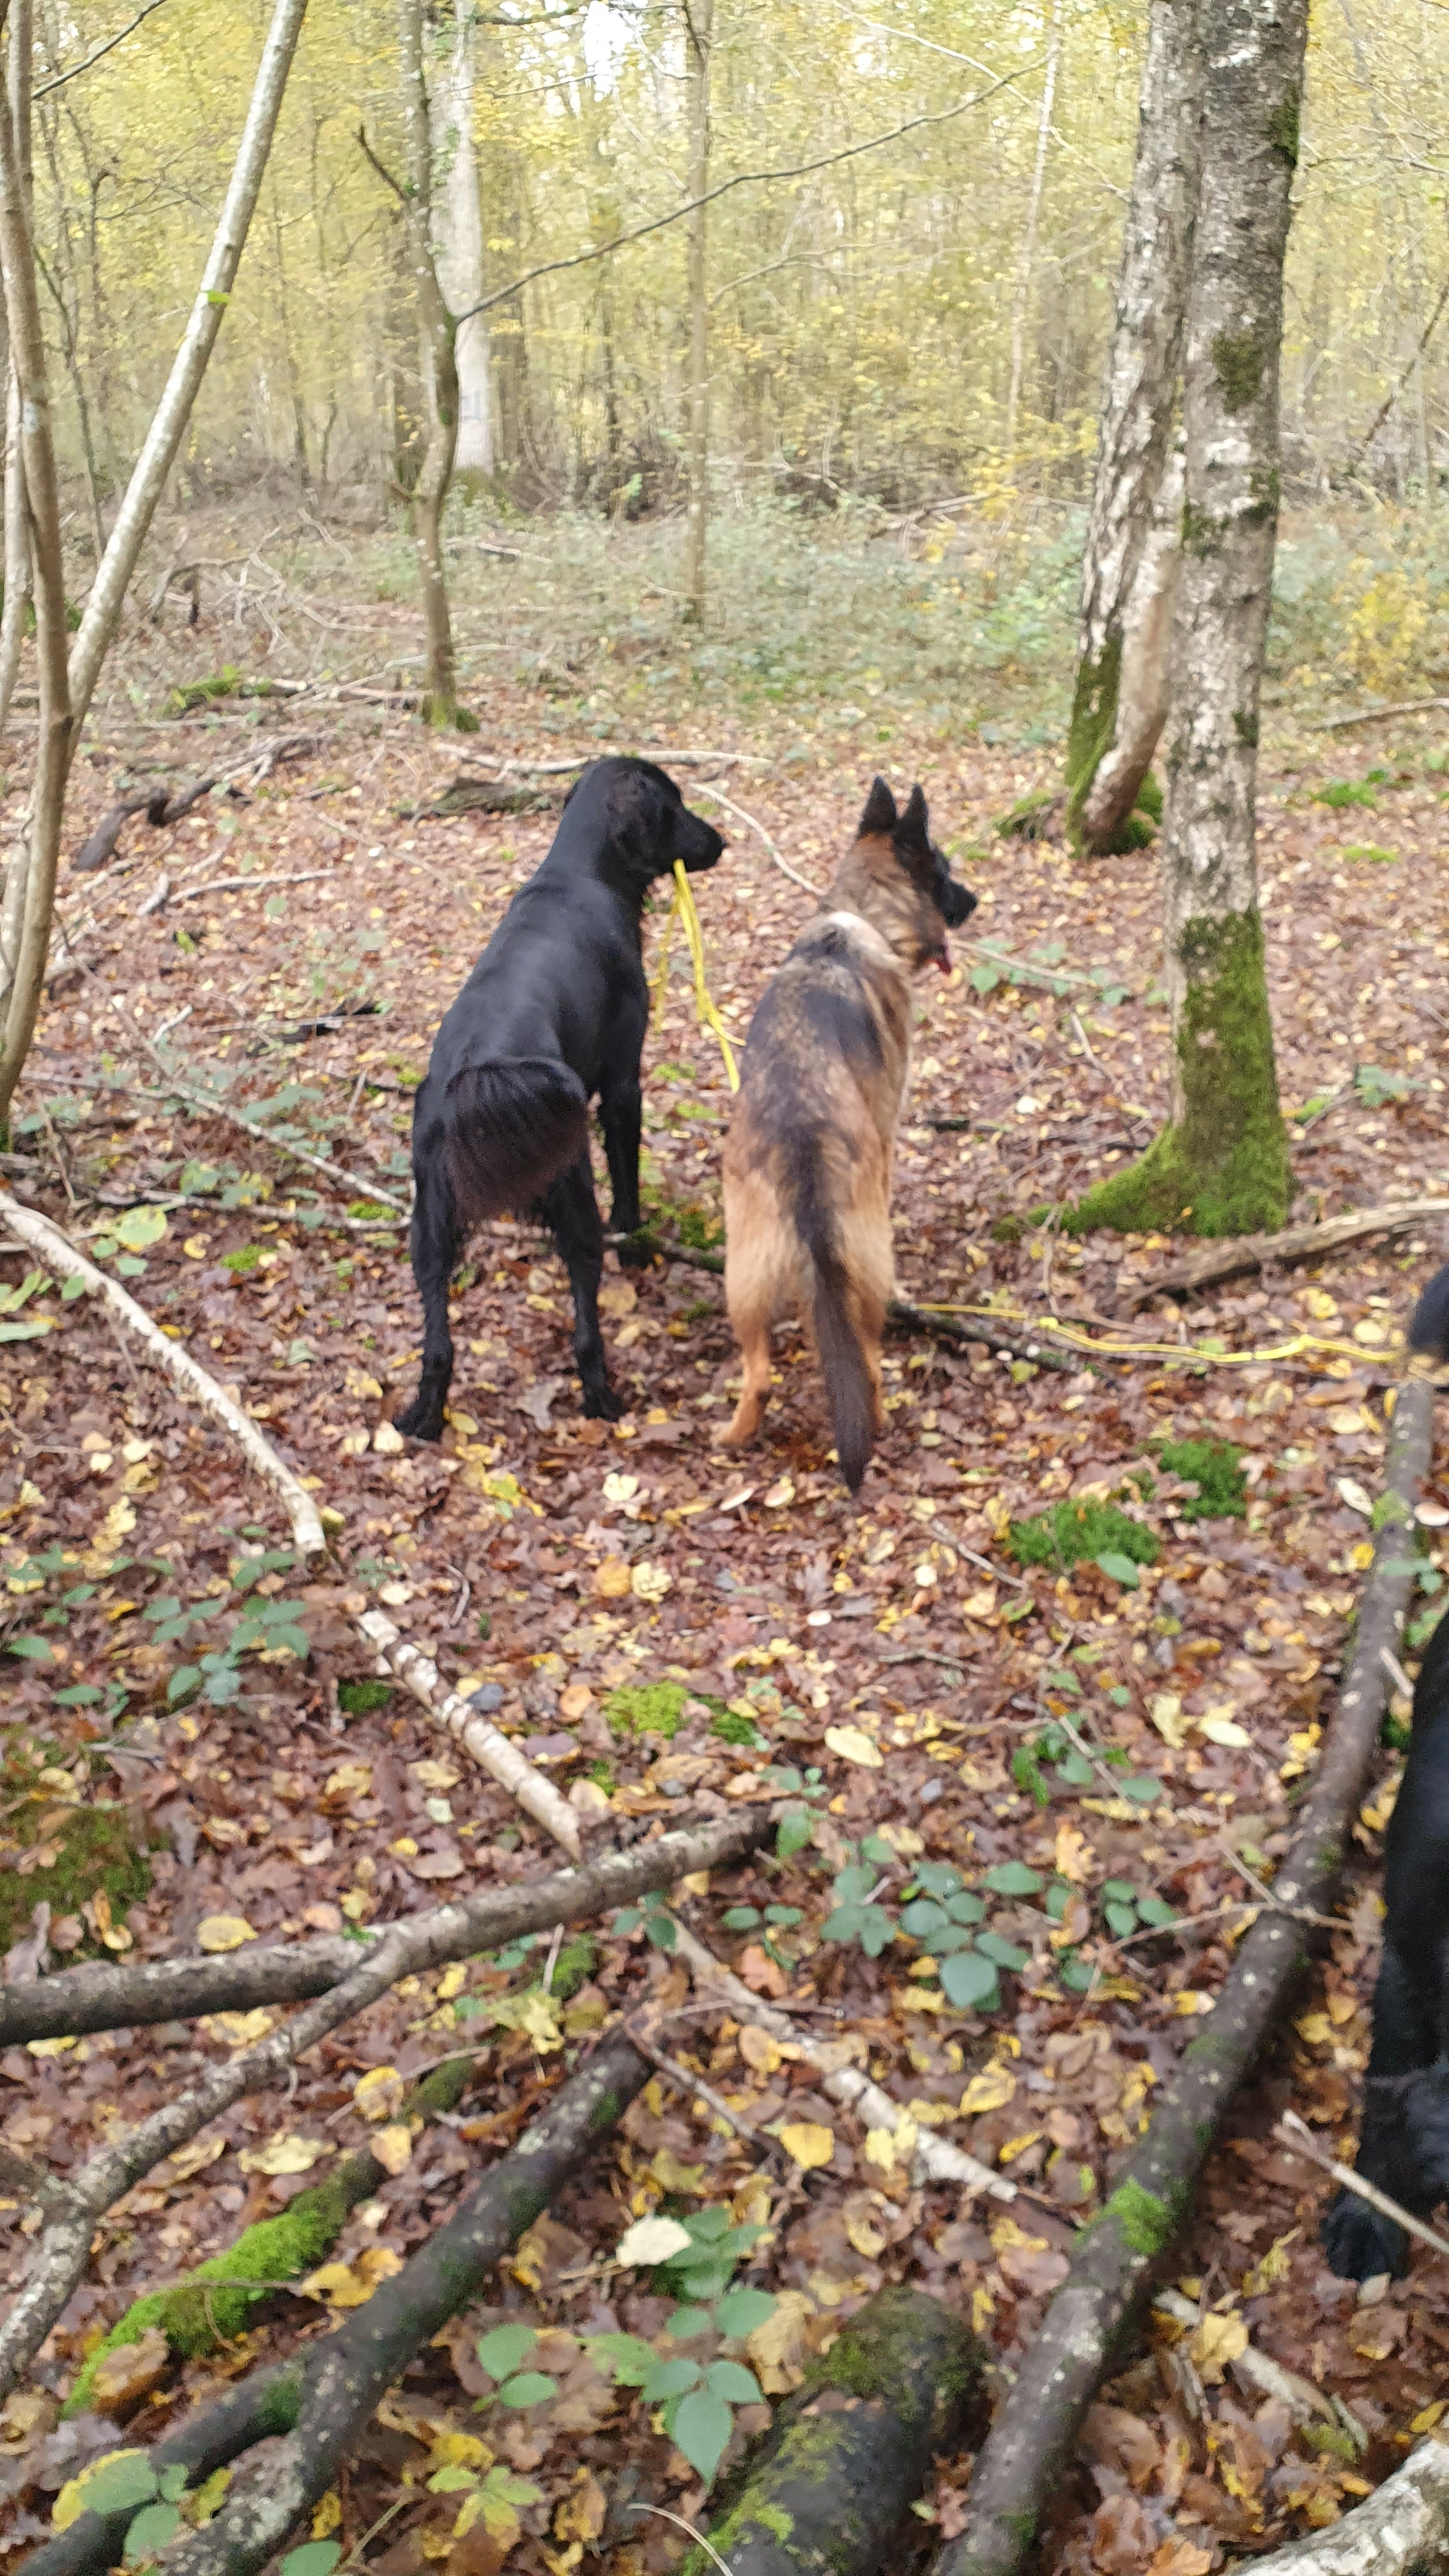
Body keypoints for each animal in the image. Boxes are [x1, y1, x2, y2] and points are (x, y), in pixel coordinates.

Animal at [392, 752, 716, 1442]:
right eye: (675, 803)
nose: (720, 841)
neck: (581, 874)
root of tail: (482, 1067)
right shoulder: (622, 1085)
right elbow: (629, 1183)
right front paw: (638, 1245)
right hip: (570, 1186)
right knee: (584, 1324)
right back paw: (603, 1399)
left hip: (429, 1219)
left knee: (438, 1345)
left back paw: (425, 1417)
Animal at [716, 772, 969, 1494]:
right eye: (944, 870)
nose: (973, 901)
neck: (863, 918)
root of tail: (803, 1142)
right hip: (865, 1259)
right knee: (869, 1359)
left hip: (741, 1272)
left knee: (760, 1374)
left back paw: (734, 1434)